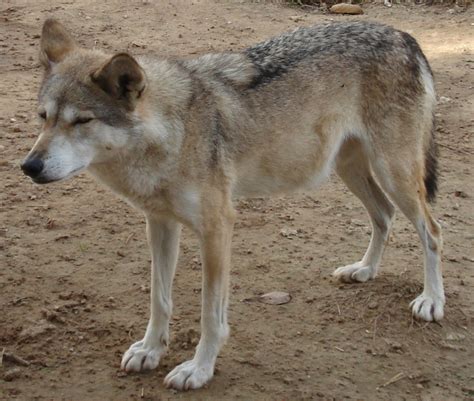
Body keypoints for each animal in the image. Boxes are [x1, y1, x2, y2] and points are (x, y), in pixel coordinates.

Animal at [22, 19, 444, 390]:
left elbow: (211, 314)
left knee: (433, 231)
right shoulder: (159, 223)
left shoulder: (217, 227)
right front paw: (150, 350)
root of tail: (404, 36)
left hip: (394, 174)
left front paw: (198, 370)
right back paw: (364, 270)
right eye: (43, 118)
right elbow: (160, 300)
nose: (29, 166)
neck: (173, 131)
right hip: (349, 169)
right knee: (384, 215)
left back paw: (431, 301)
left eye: (82, 121)